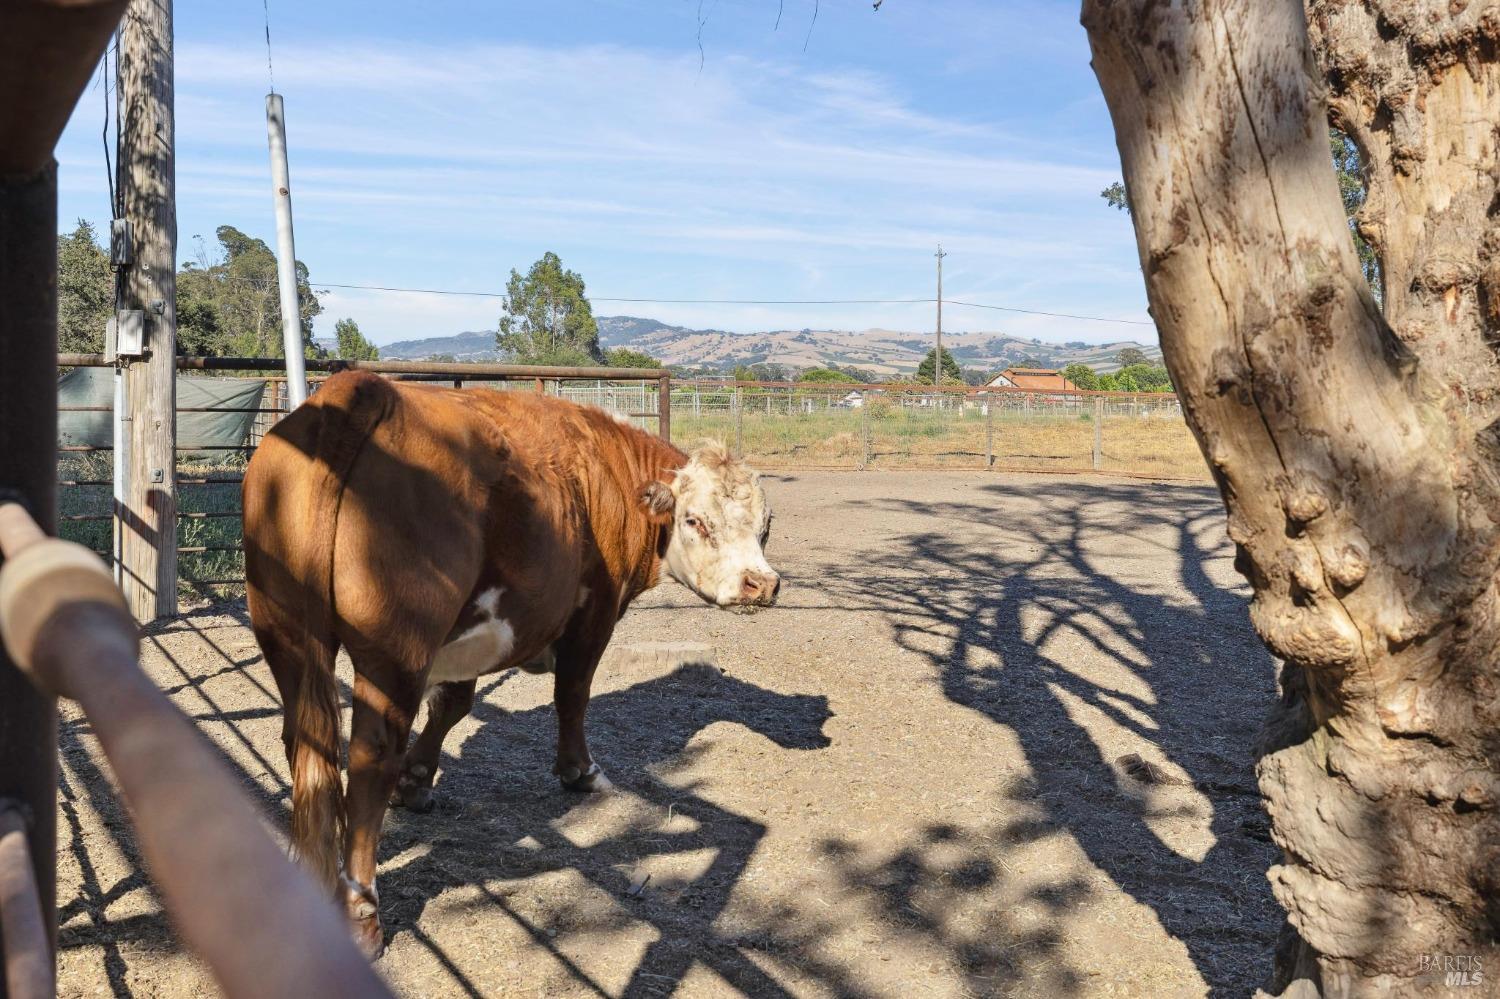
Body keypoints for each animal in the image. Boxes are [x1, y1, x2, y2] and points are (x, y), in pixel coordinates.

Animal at [240, 369, 780, 954]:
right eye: (696, 521)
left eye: (764, 525)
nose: (761, 584)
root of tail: (364, 388)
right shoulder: (593, 613)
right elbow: (573, 695)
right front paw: (581, 771)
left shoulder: (469, 633)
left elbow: (453, 704)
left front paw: (417, 782)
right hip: (396, 651)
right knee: (369, 758)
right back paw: (363, 914)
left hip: (288, 636)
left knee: (305, 744)